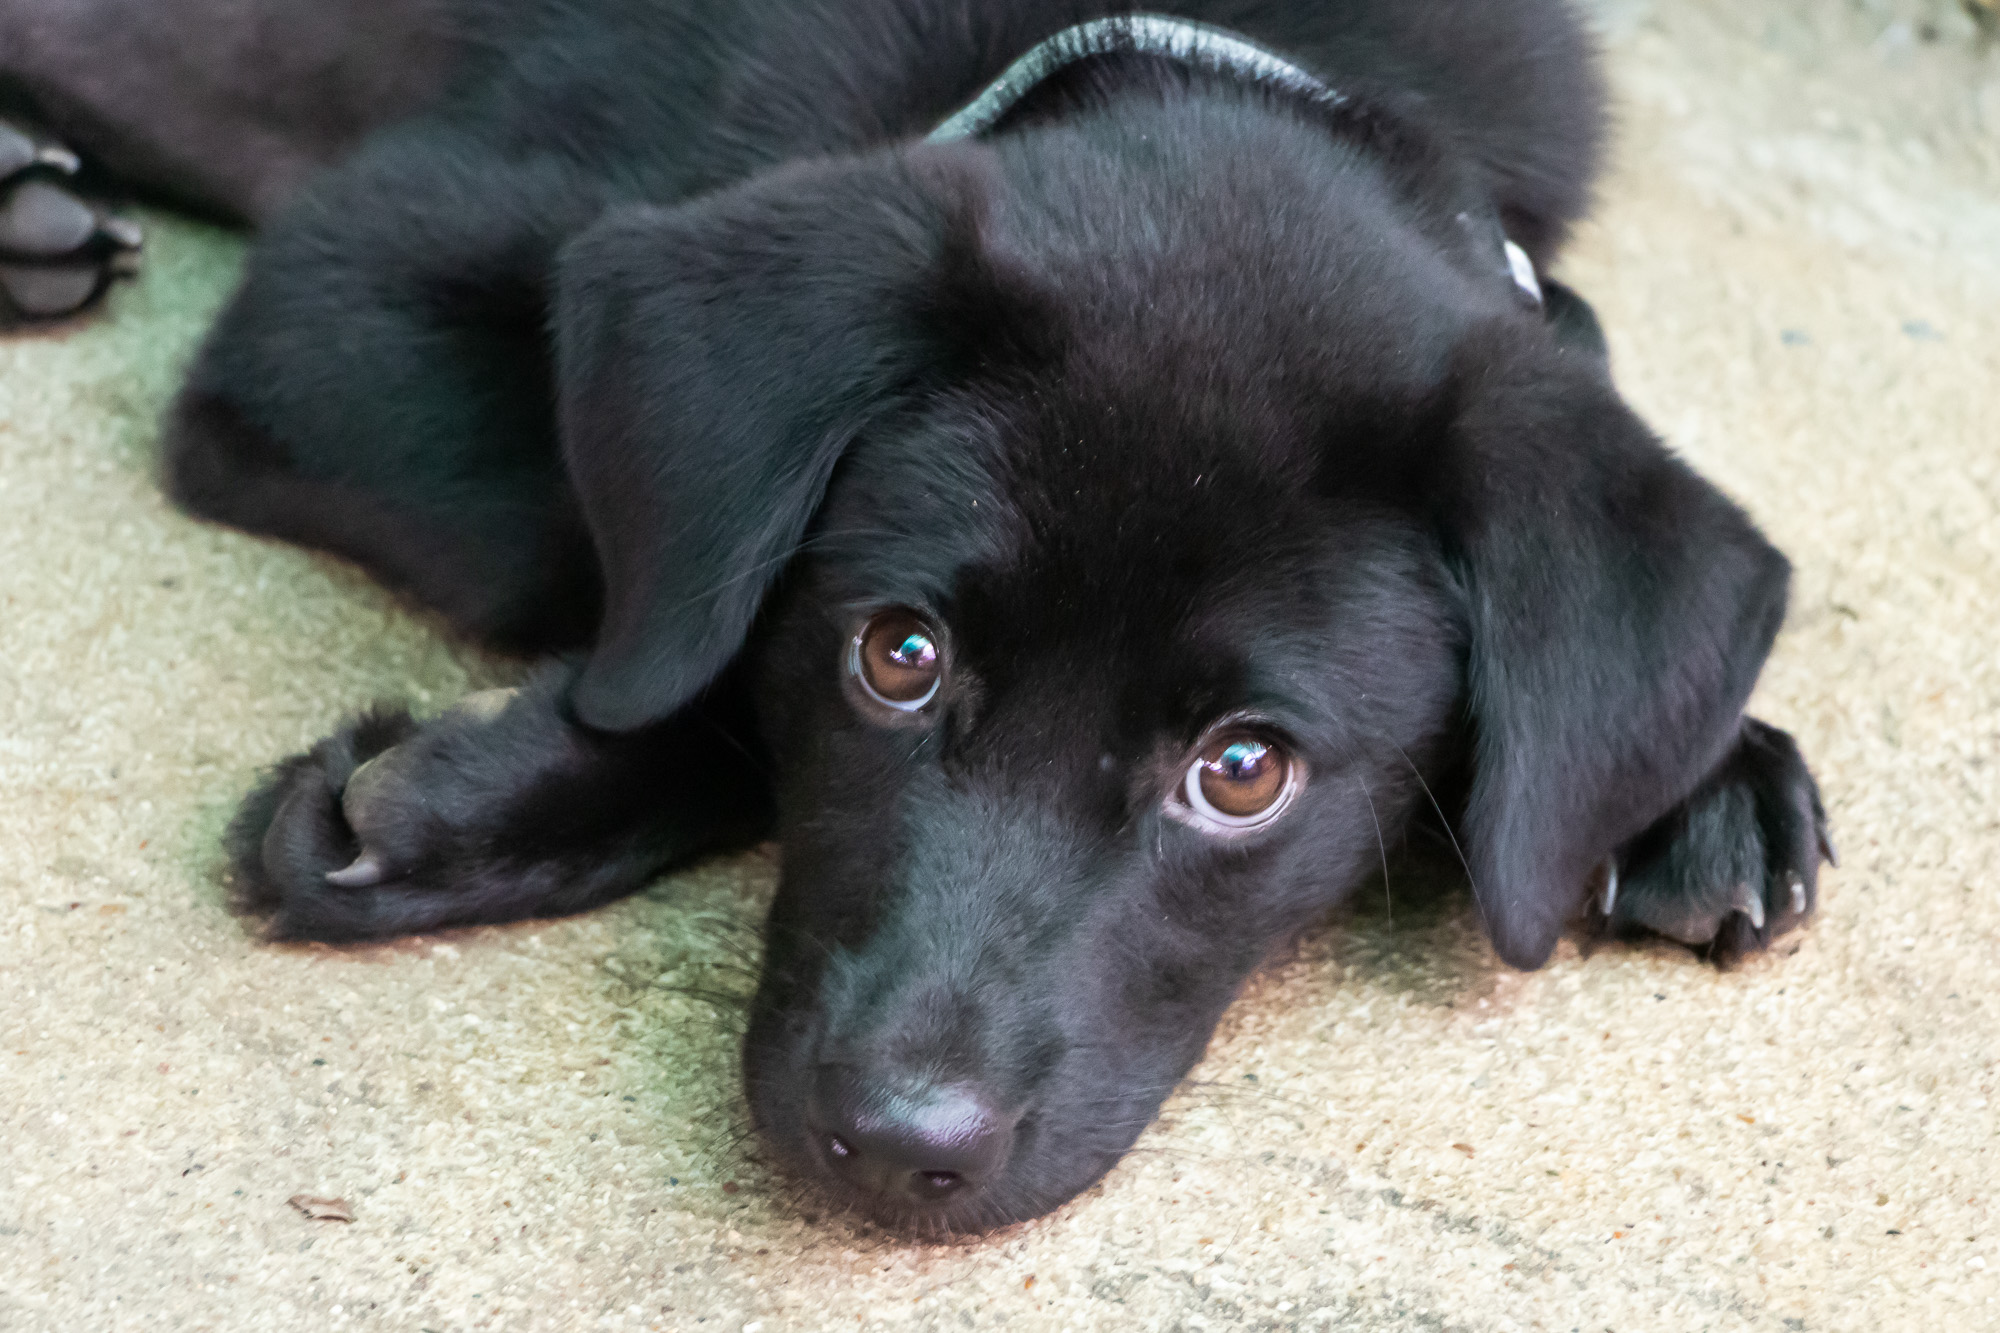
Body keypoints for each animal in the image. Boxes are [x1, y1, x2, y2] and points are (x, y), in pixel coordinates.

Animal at [4, 0, 1831, 1232]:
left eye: (1245, 770)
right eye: (898, 656)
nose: (893, 1149)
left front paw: (1703, 775)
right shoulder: (340, 296)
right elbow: (648, 587)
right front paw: (470, 802)